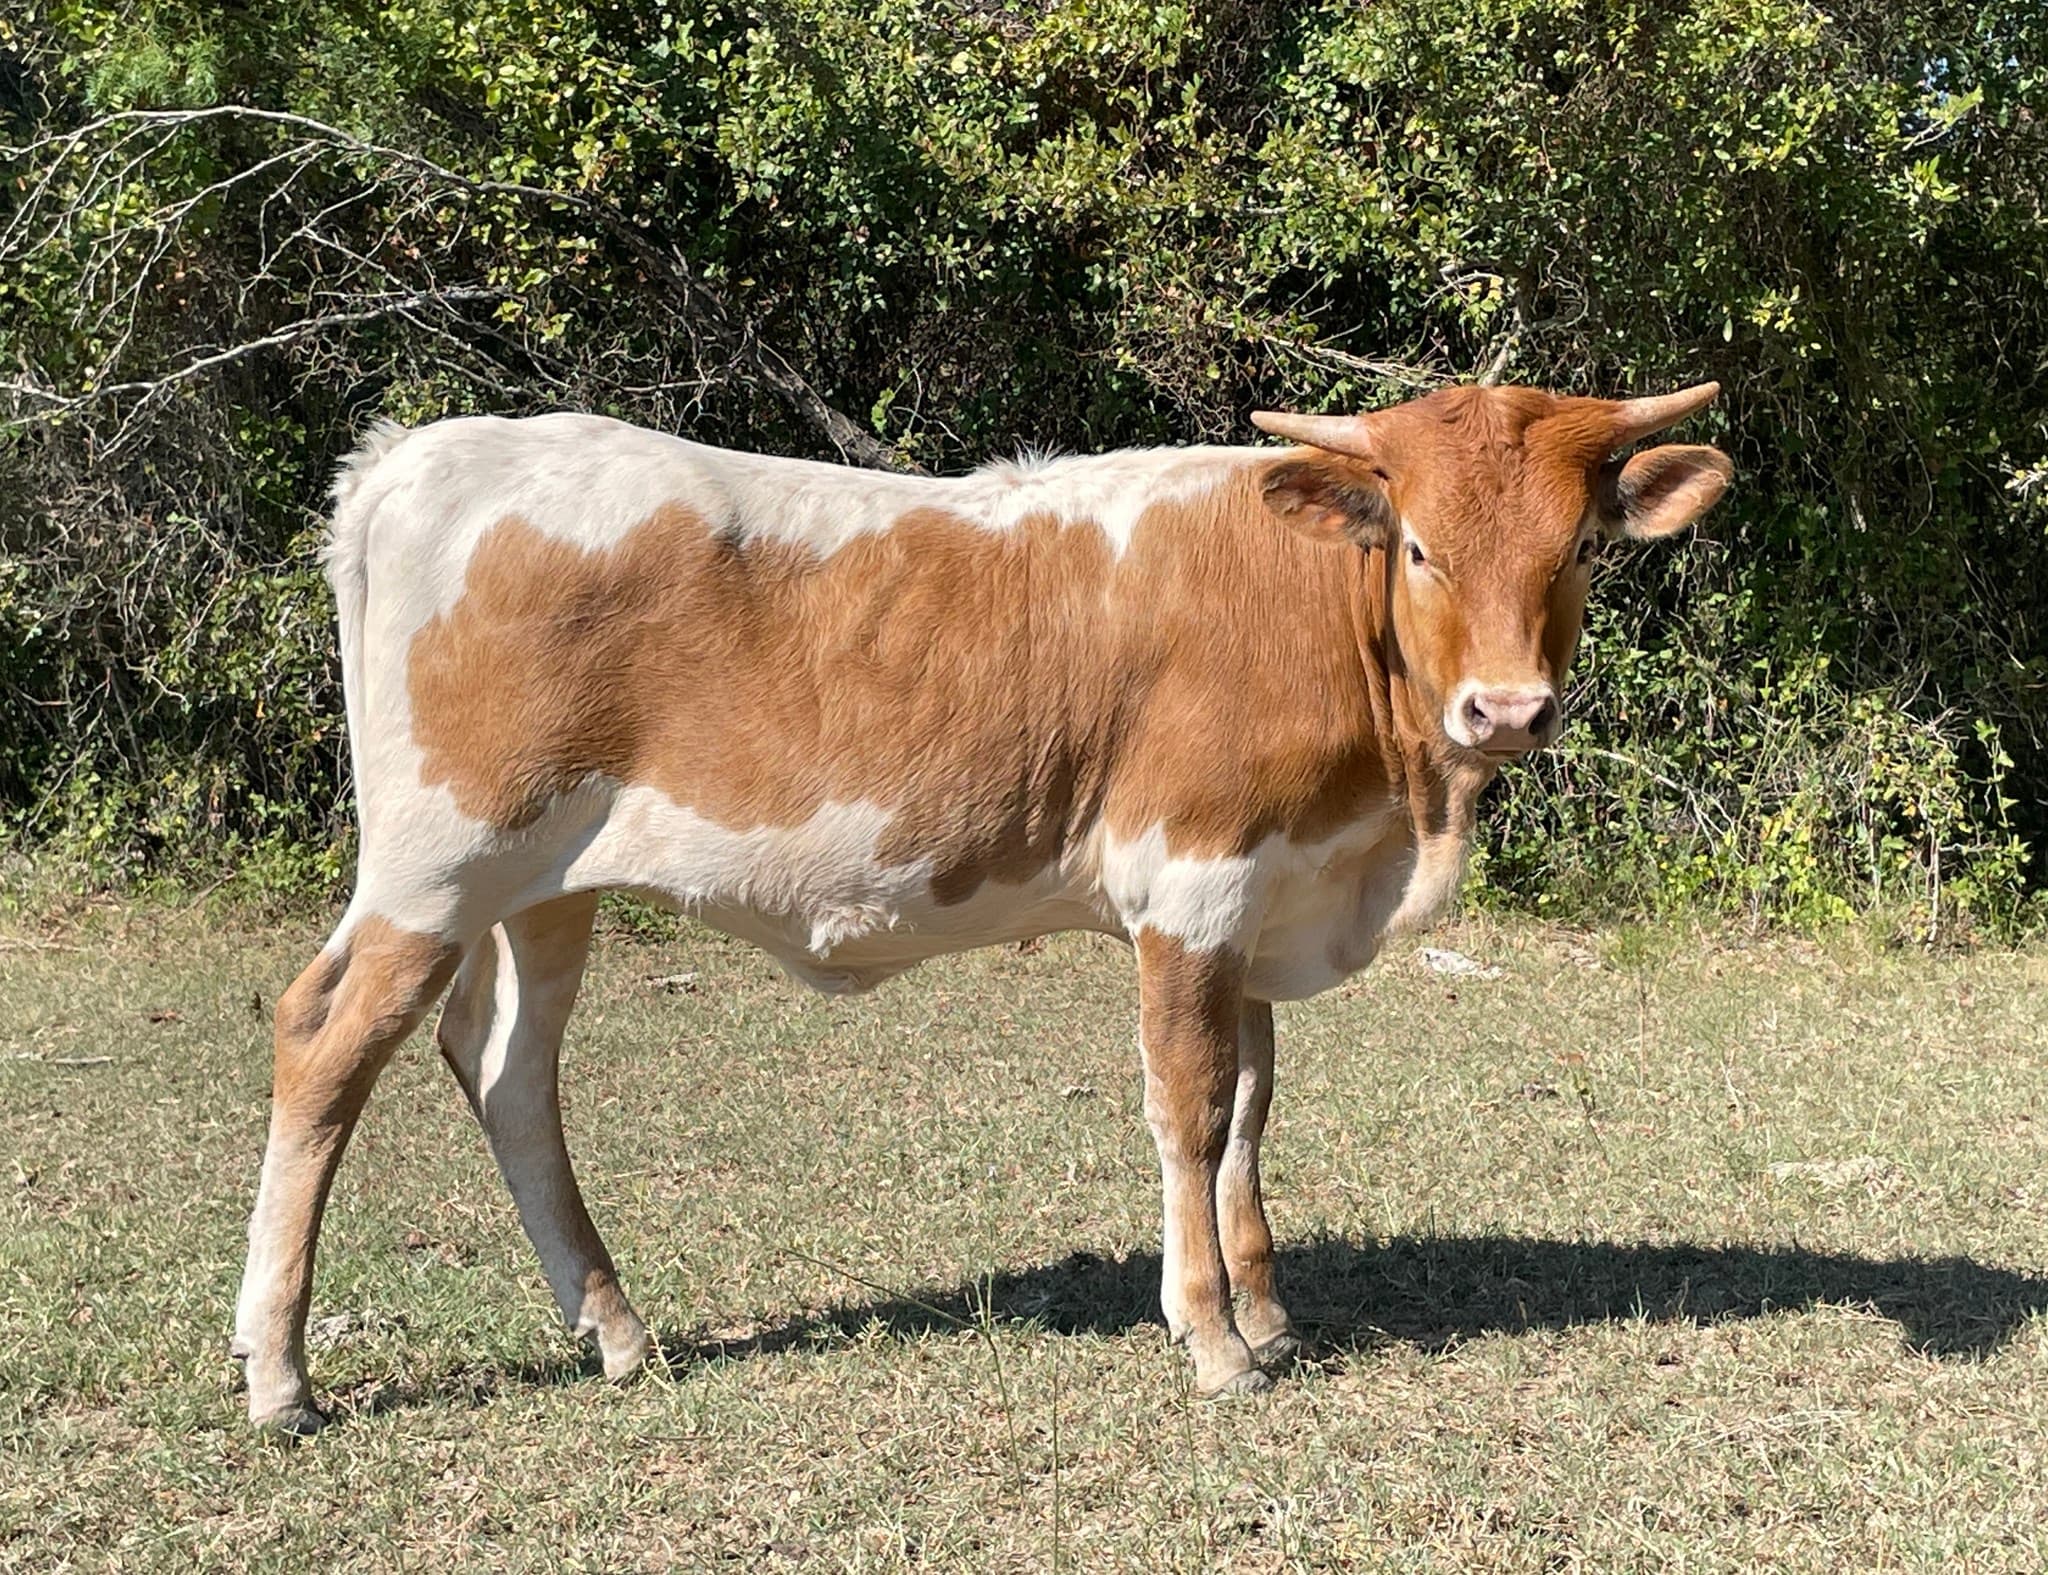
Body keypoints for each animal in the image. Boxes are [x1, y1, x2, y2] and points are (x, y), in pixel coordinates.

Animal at [231, 381, 1732, 1434]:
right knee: (324, 1042)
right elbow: (1191, 1107)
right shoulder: (1190, 884)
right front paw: (1214, 1339)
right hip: (435, 861)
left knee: (507, 1072)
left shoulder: (1259, 898)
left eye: (1577, 546)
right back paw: (279, 1373)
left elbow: (1253, 1103)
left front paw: (1269, 1309)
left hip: (545, 886)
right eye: (1418, 546)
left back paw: (614, 1330)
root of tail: (421, 453)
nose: (1508, 710)